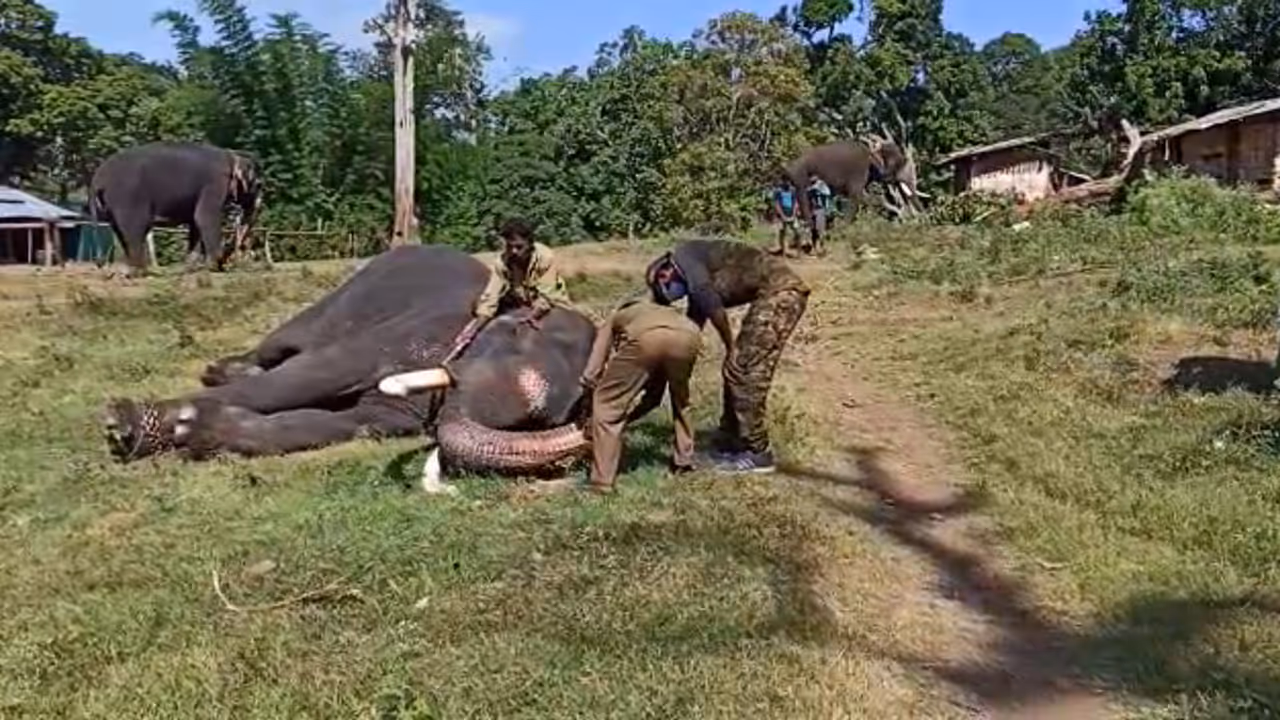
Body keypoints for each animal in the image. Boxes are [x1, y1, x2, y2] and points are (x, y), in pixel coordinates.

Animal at [89, 142, 263, 273]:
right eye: (258, 184)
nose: (227, 262)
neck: (232, 156)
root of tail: (96, 180)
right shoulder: (214, 184)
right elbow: (204, 217)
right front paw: (215, 267)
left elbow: (195, 222)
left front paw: (190, 267)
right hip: (127, 197)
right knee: (135, 229)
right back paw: (139, 271)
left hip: (112, 204)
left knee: (120, 231)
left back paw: (131, 269)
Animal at [101, 243, 597, 486]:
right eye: (516, 334)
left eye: (539, 418)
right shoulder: (417, 329)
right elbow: (320, 372)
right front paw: (128, 425)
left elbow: (346, 423)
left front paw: (197, 430)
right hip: (340, 294)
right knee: (282, 347)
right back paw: (223, 370)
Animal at [785, 136, 926, 226]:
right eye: (899, 164)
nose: (922, 218)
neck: (871, 150)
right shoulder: (859, 171)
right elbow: (856, 197)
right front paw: (844, 229)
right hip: (800, 174)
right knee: (803, 196)